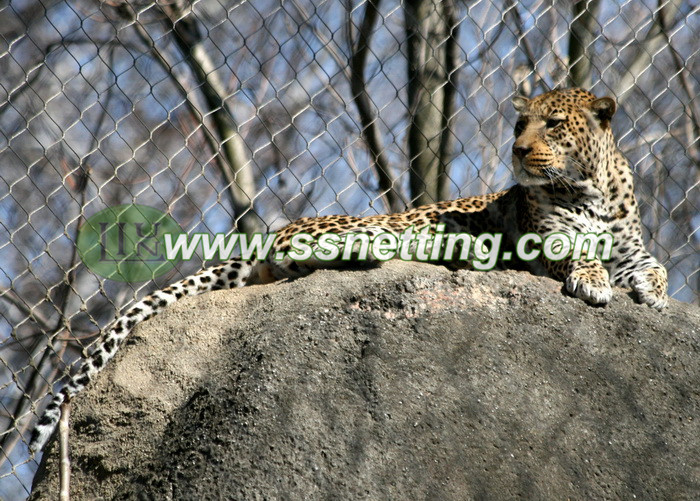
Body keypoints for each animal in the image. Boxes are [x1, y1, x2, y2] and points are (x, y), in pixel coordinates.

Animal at [29, 87, 668, 453]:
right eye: (519, 126)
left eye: (554, 124)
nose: (518, 151)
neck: (590, 185)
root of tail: (270, 235)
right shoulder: (544, 239)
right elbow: (580, 250)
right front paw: (594, 281)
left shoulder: (632, 243)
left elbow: (654, 263)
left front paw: (654, 294)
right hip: (356, 227)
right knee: (320, 255)